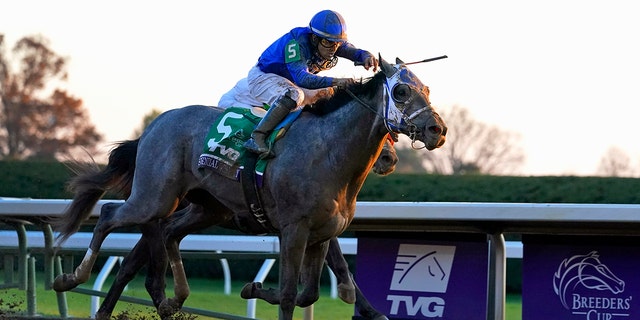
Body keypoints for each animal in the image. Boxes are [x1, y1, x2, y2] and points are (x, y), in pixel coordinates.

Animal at [91, 138, 396, 320]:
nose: (389, 159)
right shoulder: (301, 224)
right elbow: (340, 264)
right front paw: (372, 310)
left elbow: (336, 266)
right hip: (160, 206)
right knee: (138, 262)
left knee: (132, 263)